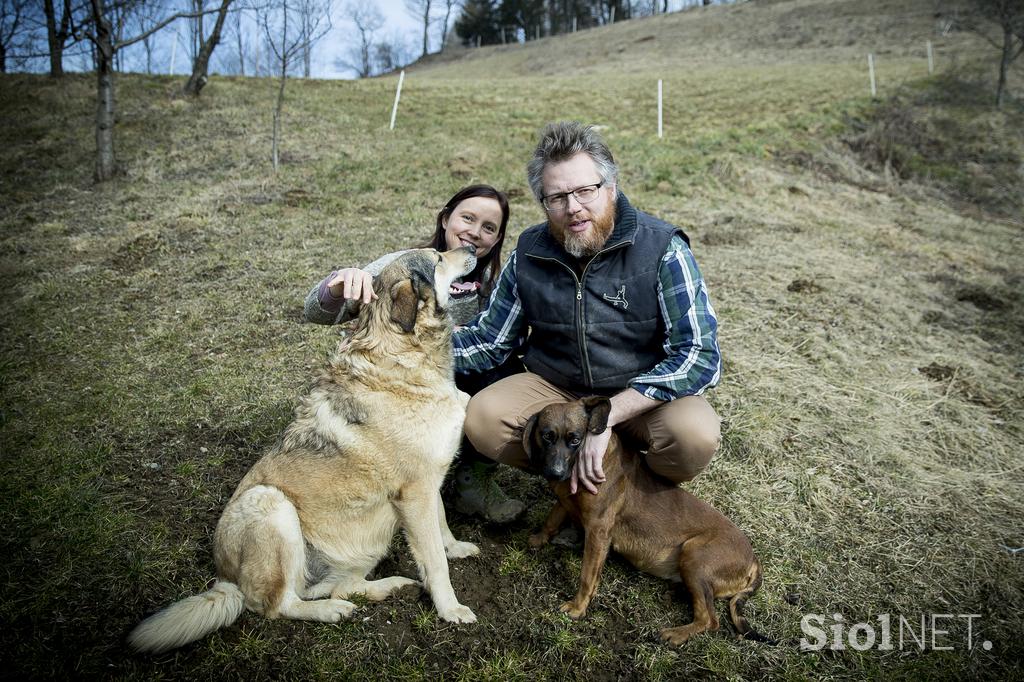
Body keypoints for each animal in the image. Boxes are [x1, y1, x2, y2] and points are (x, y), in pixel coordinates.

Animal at [129, 246, 479, 651]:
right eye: (438, 257)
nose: (472, 249)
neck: (405, 356)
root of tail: (226, 578)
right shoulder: (415, 493)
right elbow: (435, 561)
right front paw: (451, 609)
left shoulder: (428, 484)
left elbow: (442, 525)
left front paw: (456, 549)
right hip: (271, 504)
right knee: (278, 605)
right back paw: (331, 611)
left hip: (362, 543)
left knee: (336, 586)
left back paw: (387, 587)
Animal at [520, 393, 770, 643]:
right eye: (546, 436)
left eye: (575, 440)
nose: (556, 473)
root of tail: (754, 560)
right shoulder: (565, 500)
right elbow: (552, 519)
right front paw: (539, 538)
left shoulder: (598, 531)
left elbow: (587, 576)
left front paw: (578, 607)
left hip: (694, 555)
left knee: (709, 620)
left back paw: (675, 634)